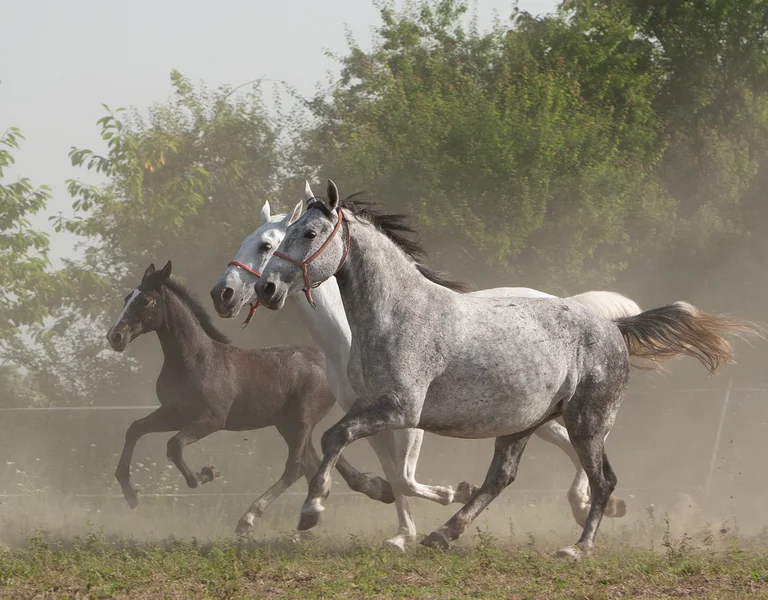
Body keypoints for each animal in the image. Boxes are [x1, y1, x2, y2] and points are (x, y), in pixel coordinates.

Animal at [105, 260, 394, 529]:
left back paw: (249, 517)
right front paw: (130, 493)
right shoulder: (173, 412)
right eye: (127, 298)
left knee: (295, 467)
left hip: (301, 420)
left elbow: (174, 446)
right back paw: (377, 490)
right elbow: (135, 429)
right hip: (288, 424)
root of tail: (329, 364)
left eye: (145, 301)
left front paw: (205, 474)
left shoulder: (211, 419)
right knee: (313, 462)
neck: (194, 359)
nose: (114, 337)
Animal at [253, 180, 754, 558]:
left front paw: (312, 511)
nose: (266, 288)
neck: (398, 314)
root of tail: (613, 327)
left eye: (309, 233)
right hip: (521, 425)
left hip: (587, 423)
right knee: (501, 479)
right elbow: (364, 458)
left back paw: (577, 548)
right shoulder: (375, 408)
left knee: (603, 480)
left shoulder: (400, 410)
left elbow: (336, 438)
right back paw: (443, 534)